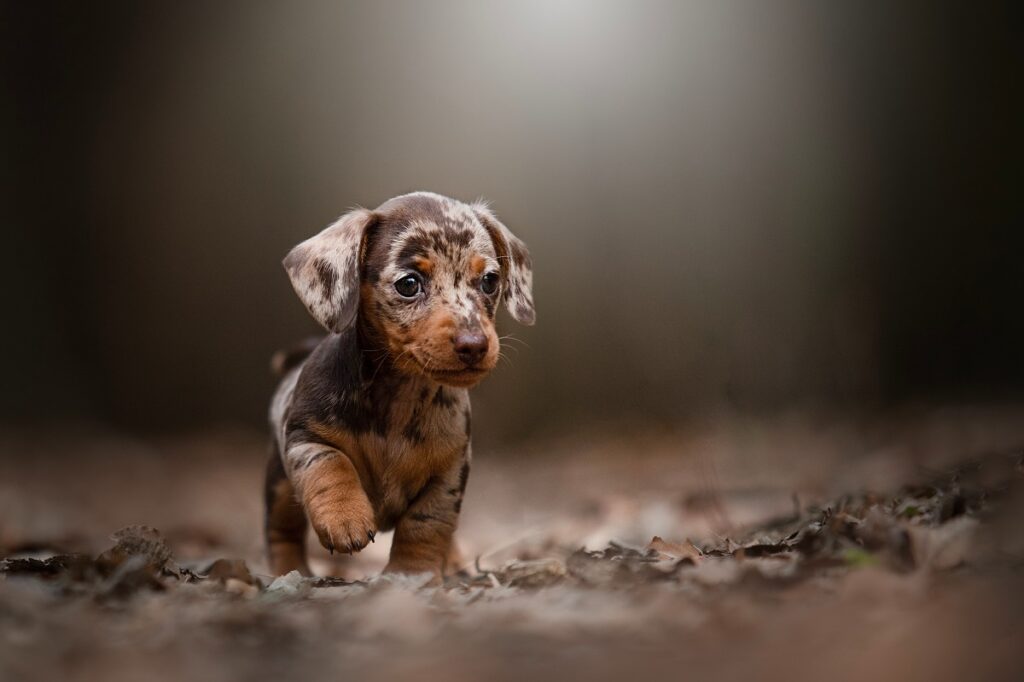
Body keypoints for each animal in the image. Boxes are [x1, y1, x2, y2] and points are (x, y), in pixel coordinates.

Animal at [264, 191, 536, 577]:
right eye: (409, 284)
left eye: (489, 280)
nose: (474, 345)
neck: (400, 397)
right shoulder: (305, 438)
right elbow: (331, 465)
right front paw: (344, 517)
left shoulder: (448, 476)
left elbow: (424, 528)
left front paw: (410, 574)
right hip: (280, 488)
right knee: (281, 533)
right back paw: (292, 571)